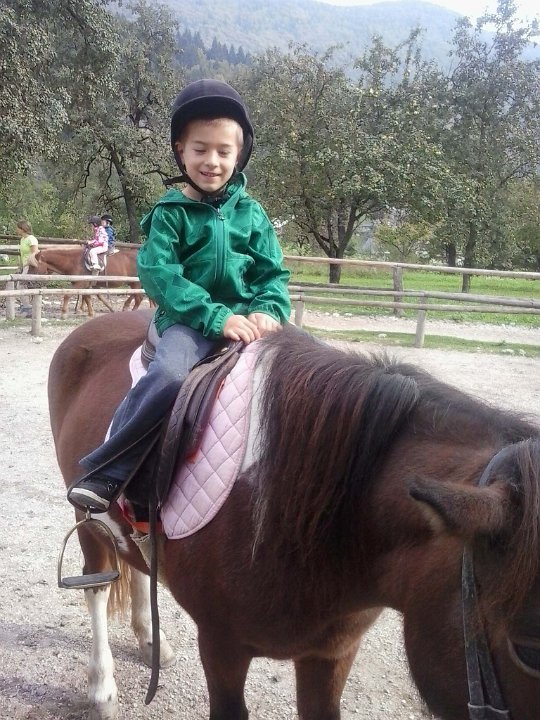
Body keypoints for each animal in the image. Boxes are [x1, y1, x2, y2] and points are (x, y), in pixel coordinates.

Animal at [47, 310, 540, 720]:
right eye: (528, 650)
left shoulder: (332, 653)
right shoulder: (221, 645)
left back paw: (152, 640)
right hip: (84, 511)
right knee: (96, 584)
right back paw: (102, 688)